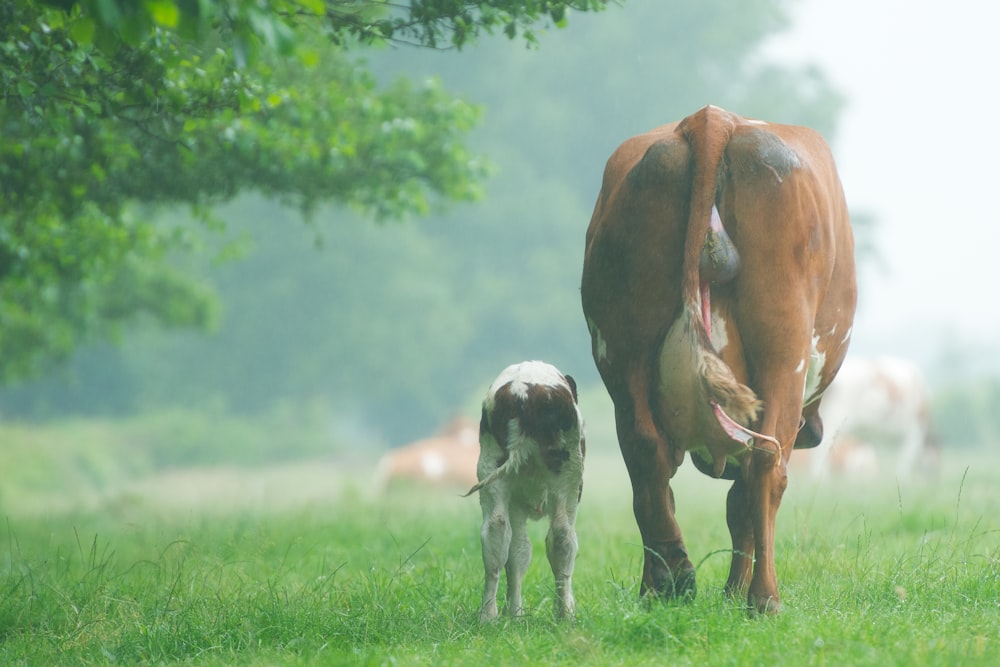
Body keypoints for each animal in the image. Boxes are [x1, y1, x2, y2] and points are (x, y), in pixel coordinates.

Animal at [462, 362, 584, 624]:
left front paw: (515, 614)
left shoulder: (515, 503)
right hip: (568, 478)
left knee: (496, 532)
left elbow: (518, 552)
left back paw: (488, 615)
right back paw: (565, 614)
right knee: (562, 536)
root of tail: (522, 392)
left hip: (491, 469)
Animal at [584, 104, 856, 616]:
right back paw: (764, 599)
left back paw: (666, 582)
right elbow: (743, 501)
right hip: (784, 348)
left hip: (621, 347)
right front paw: (735, 591)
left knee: (645, 455)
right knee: (767, 464)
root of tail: (713, 119)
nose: (815, 431)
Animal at [792, 360, 940, 480]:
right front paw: (903, 479)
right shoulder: (914, 432)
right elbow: (906, 458)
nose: (934, 478)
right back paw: (820, 480)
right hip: (835, 417)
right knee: (822, 449)